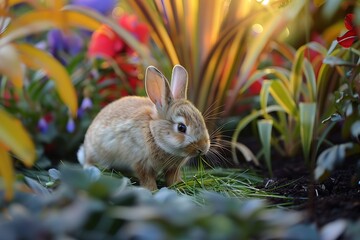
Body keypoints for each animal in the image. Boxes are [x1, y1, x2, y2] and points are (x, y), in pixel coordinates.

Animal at [77, 64, 210, 190]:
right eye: (181, 127)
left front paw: (178, 185)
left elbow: (172, 177)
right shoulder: (141, 163)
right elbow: (147, 178)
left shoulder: (172, 168)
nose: (203, 148)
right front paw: (153, 190)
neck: (153, 132)